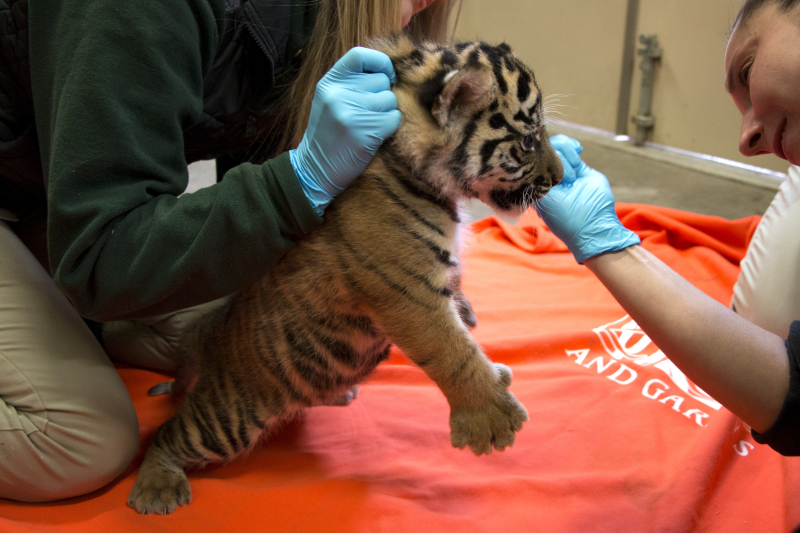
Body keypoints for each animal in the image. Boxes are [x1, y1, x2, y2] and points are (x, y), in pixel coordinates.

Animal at [127, 34, 564, 515]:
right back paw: (156, 489)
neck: (409, 164)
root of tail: (205, 339)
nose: (561, 178)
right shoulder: (407, 290)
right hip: (228, 420)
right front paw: (492, 418)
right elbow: (452, 352)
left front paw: (468, 316)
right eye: (528, 141)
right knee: (167, 435)